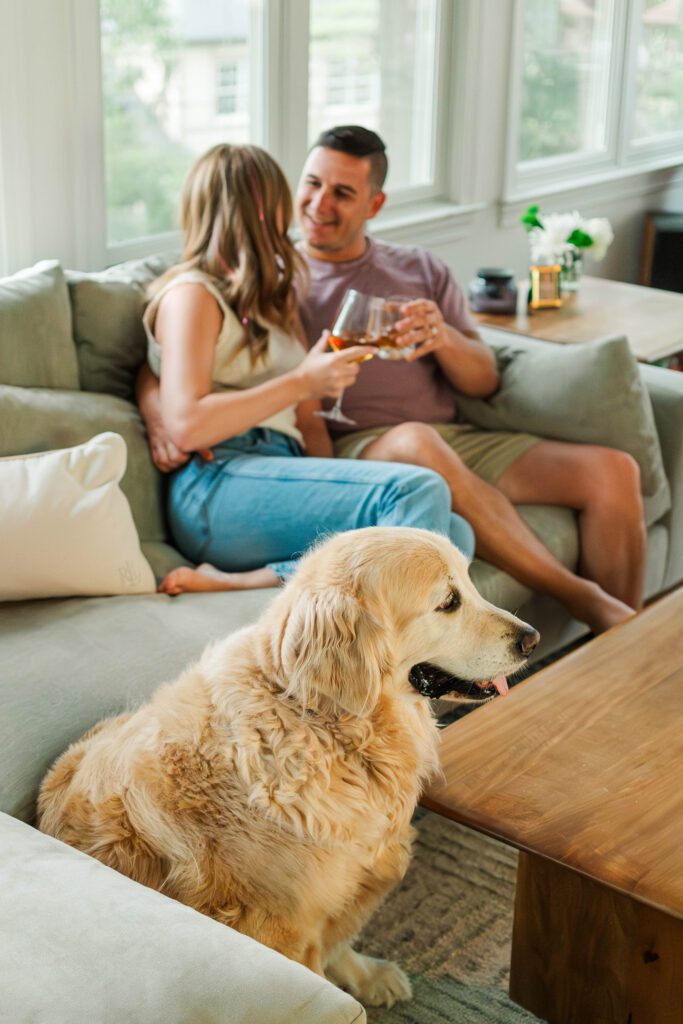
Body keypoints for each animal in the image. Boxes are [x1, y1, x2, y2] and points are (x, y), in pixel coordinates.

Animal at [38, 528, 540, 1007]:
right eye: (448, 602)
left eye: (471, 583)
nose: (531, 639)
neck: (321, 722)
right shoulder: (281, 927)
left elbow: (340, 940)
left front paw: (366, 976)